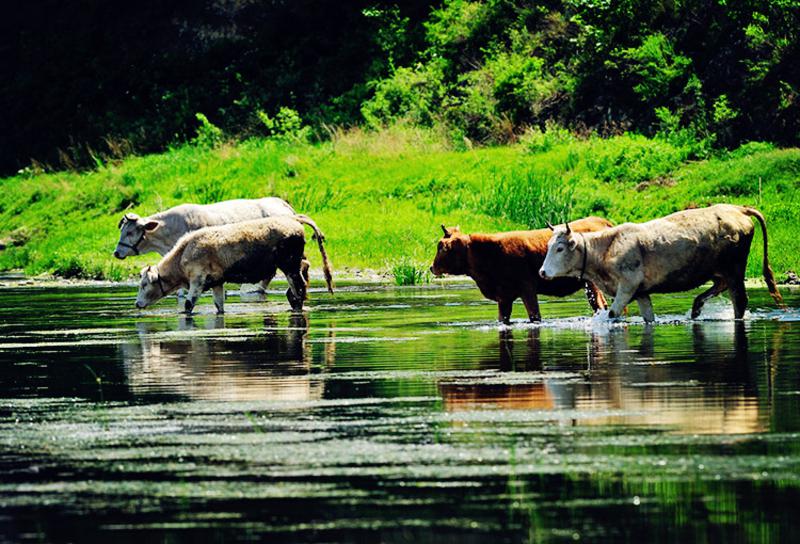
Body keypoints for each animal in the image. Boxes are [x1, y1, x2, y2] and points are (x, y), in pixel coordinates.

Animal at [134, 214, 332, 314]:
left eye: (144, 284)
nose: (137, 304)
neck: (184, 254)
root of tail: (293, 220)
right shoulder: (216, 283)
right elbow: (219, 306)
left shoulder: (197, 281)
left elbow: (188, 305)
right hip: (293, 263)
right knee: (300, 279)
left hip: (289, 265)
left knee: (298, 288)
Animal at [432, 217, 612, 324]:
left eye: (441, 247)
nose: (431, 267)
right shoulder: (504, 297)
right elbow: (503, 319)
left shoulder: (527, 288)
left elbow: (534, 316)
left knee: (601, 306)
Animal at [540, 204, 784, 324]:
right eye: (549, 245)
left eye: (559, 248)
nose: (542, 272)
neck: (606, 248)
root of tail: (736, 208)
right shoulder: (641, 293)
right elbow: (649, 317)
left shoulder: (627, 286)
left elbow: (611, 315)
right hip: (718, 271)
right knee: (719, 286)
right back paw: (696, 308)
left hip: (735, 268)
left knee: (739, 300)